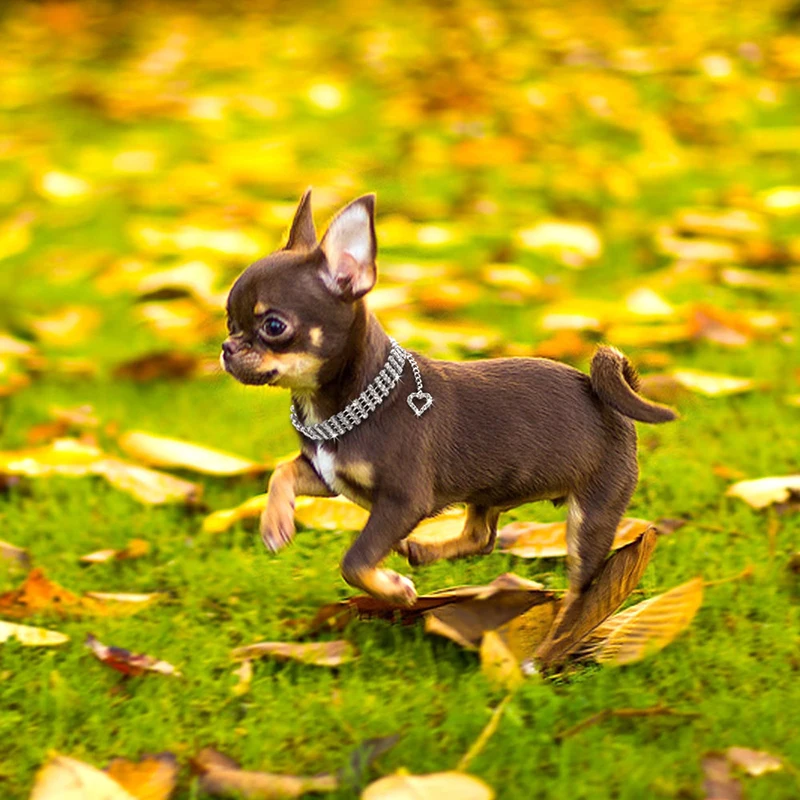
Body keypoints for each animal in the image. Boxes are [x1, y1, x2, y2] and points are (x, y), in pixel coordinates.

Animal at [220, 191, 676, 608]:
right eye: (228, 321)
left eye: (274, 326)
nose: (226, 347)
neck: (344, 404)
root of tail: (605, 397)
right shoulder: (328, 476)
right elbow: (281, 472)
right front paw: (275, 524)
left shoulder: (403, 502)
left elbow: (354, 561)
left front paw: (394, 590)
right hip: (490, 492)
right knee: (482, 536)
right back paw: (424, 550)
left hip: (593, 513)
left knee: (580, 589)